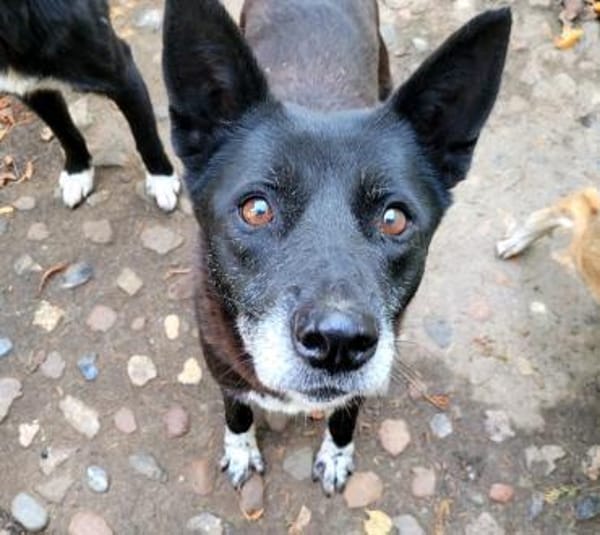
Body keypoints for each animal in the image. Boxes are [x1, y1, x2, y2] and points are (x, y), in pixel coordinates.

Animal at [0, 0, 180, 211]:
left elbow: (147, 136)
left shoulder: (123, 76)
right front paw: (78, 172)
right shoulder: (33, 90)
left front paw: (162, 179)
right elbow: (65, 133)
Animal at [162, 0, 511, 494]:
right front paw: (241, 449)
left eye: (393, 219)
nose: (338, 342)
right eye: (256, 209)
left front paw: (336, 456)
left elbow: (346, 415)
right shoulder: (222, 366)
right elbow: (237, 410)